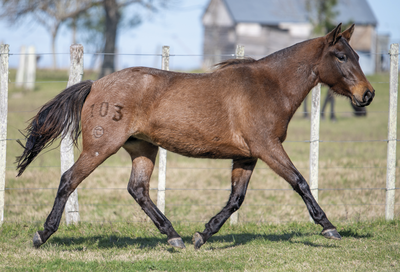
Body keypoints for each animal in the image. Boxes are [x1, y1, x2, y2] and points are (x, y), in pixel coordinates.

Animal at [17, 24, 376, 250]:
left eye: (358, 56)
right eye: (341, 56)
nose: (368, 94)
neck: (269, 87)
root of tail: (95, 84)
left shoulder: (247, 155)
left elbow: (235, 199)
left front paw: (203, 234)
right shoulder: (268, 147)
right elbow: (300, 182)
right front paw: (329, 227)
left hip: (143, 148)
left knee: (138, 189)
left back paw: (173, 236)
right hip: (101, 146)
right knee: (68, 180)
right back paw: (42, 235)